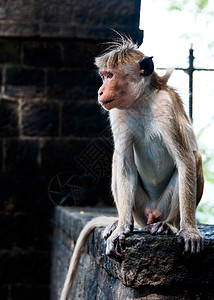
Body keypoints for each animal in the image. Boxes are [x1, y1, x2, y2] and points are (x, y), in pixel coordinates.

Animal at [59, 35, 204, 300]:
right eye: (103, 75)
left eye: (110, 75)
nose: (100, 90)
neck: (140, 102)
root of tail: (149, 214)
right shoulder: (116, 114)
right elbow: (124, 163)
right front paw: (121, 229)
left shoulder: (167, 108)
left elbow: (185, 159)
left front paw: (189, 231)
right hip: (139, 207)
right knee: (118, 160)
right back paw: (121, 222)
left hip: (161, 206)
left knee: (194, 158)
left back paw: (168, 224)